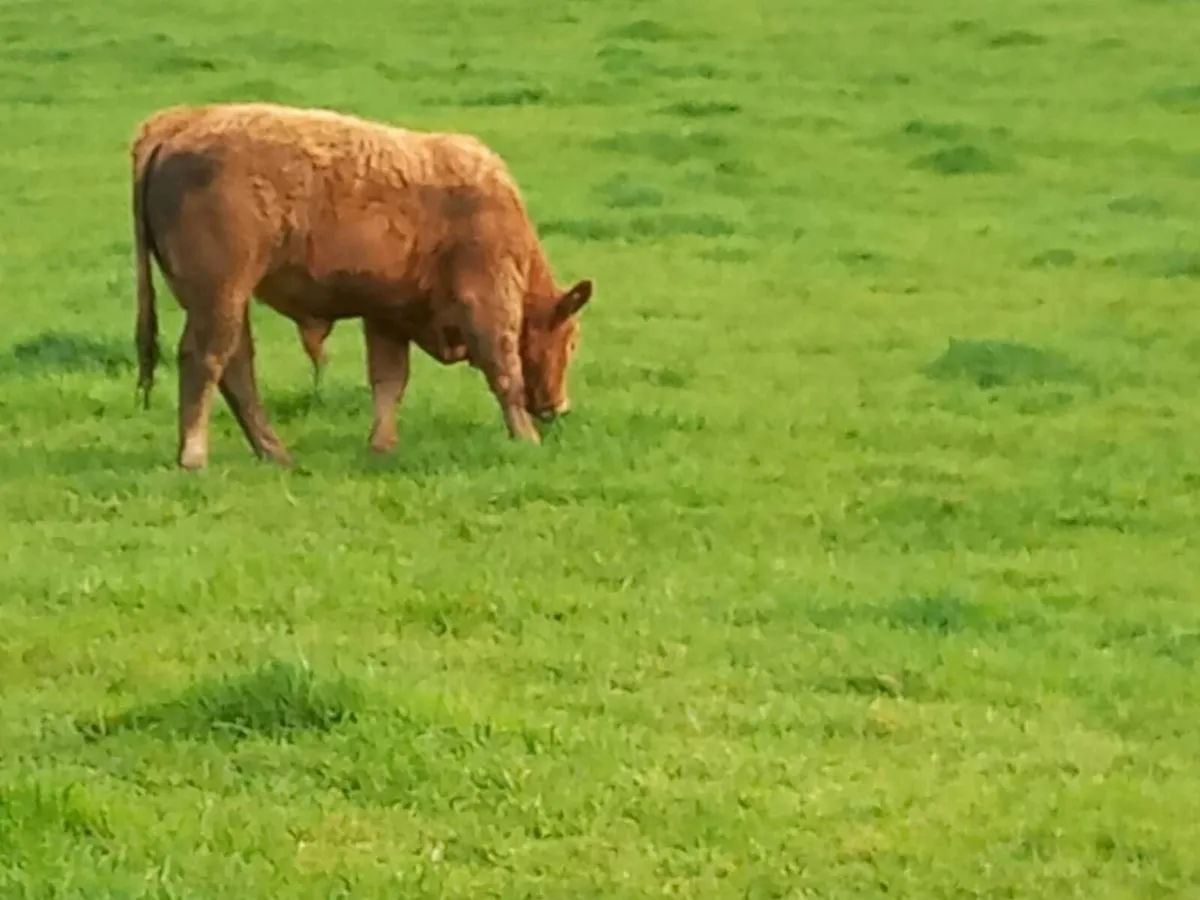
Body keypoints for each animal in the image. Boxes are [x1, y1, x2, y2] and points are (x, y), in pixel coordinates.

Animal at [130, 101, 593, 470]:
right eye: (570, 340)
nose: (559, 408)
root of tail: (179, 123)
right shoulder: (488, 300)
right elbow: (504, 371)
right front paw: (527, 440)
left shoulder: (387, 316)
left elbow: (389, 381)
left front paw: (382, 446)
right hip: (220, 294)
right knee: (205, 359)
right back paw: (194, 456)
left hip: (227, 299)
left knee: (237, 365)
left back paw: (274, 453)